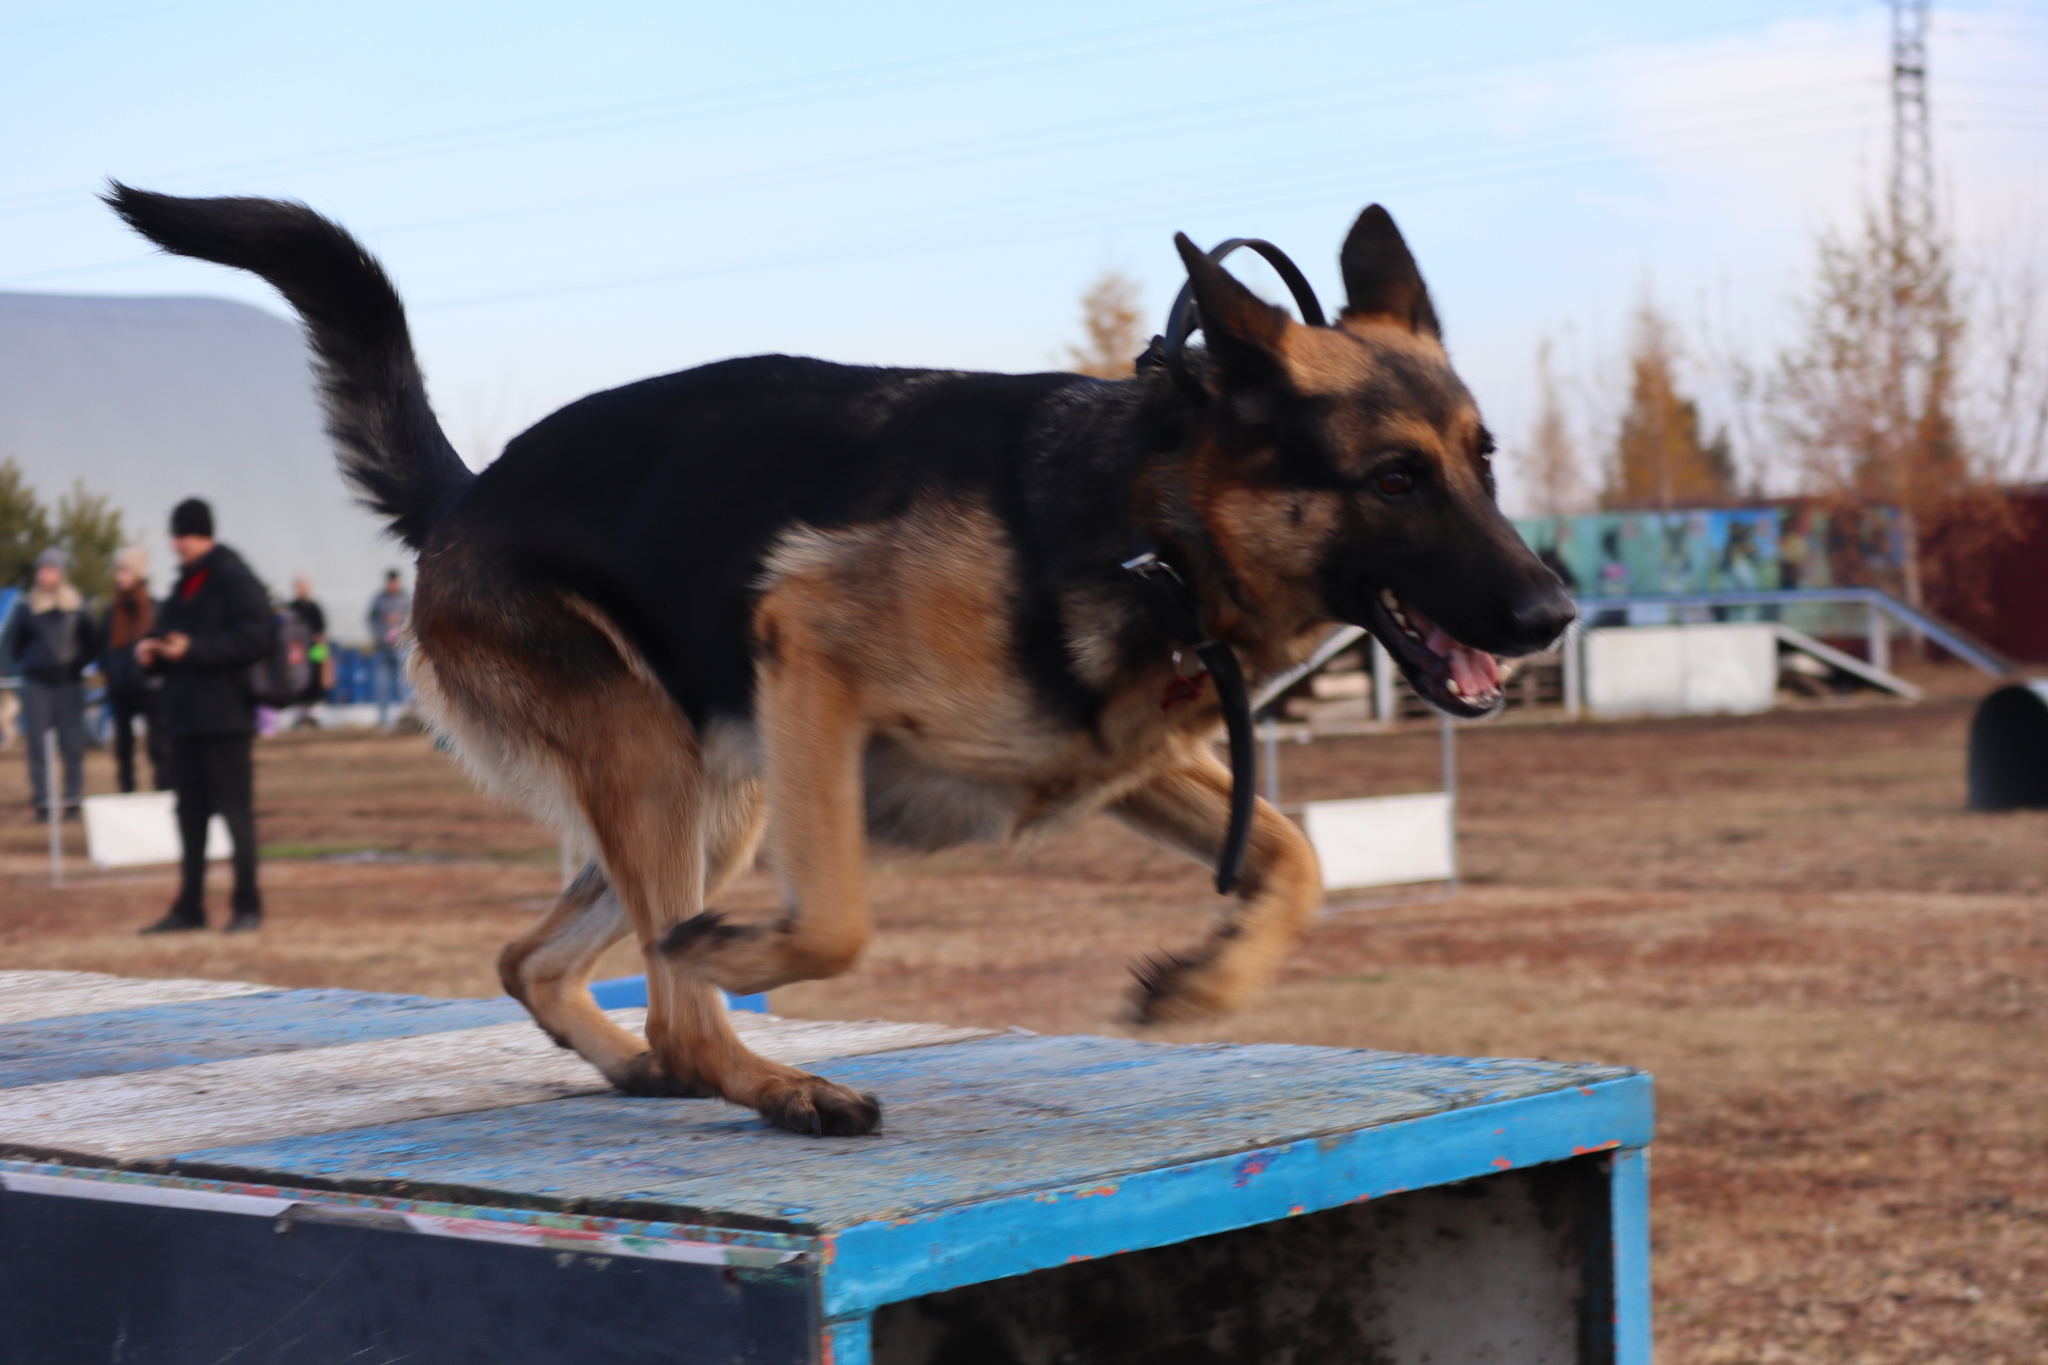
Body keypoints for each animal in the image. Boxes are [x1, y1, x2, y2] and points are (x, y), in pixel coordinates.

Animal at [108, 187, 1564, 1137]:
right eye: (1392, 478)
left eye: (1483, 462)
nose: (1552, 610)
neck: (1142, 518)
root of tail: (466, 493)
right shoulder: (811, 652)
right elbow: (837, 921)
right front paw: (748, 960)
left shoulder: (1113, 760)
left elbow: (1295, 849)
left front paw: (1204, 977)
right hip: (679, 768)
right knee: (675, 995)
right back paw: (765, 1076)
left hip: (714, 791)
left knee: (536, 959)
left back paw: (644, 1063)